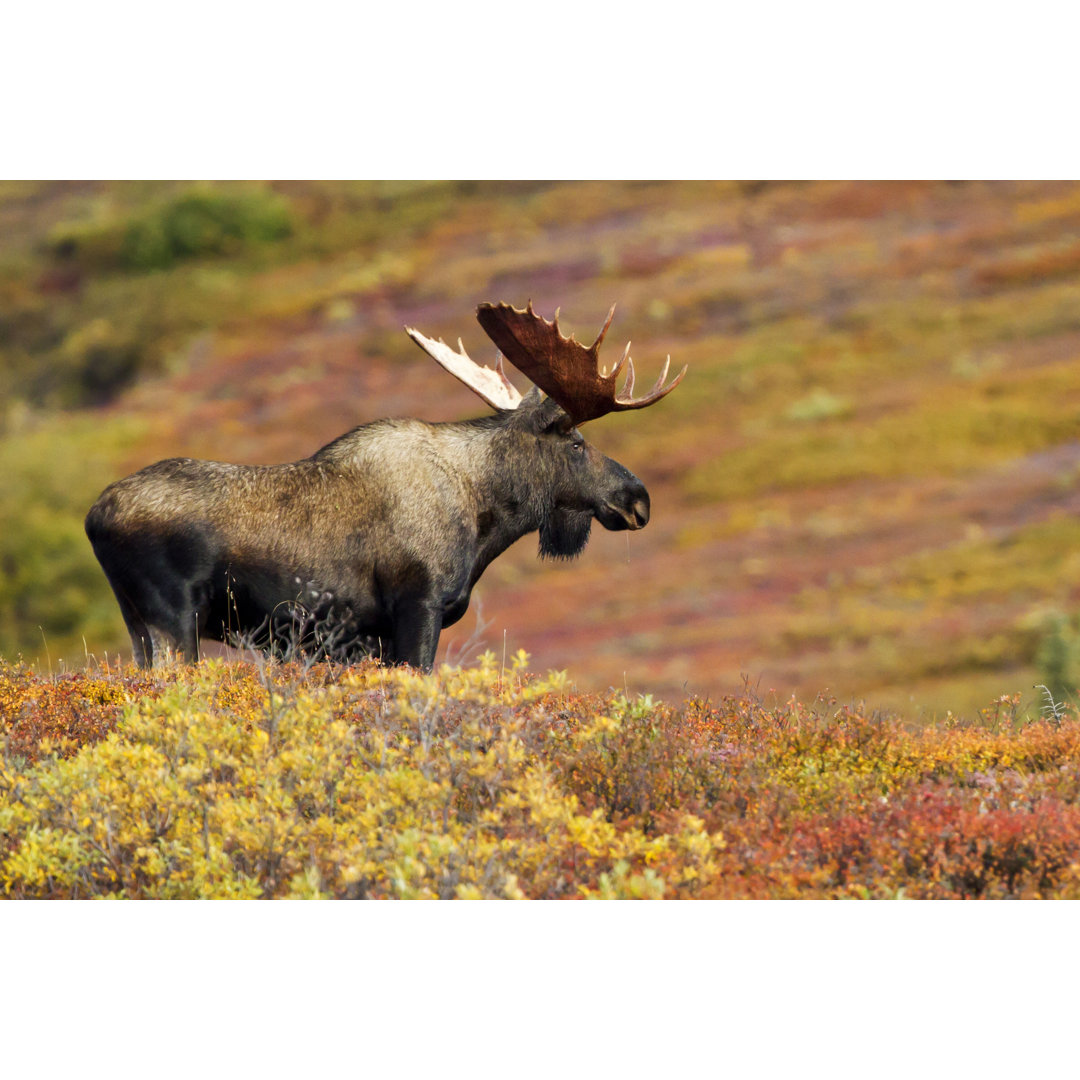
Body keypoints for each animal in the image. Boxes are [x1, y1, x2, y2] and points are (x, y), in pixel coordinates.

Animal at [88, 302, 686, 665]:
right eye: (577, 443)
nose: (638, 500)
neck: (484, 518)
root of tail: (94, 517)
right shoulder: (417, 608)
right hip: (172, 620)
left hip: (136, 621)